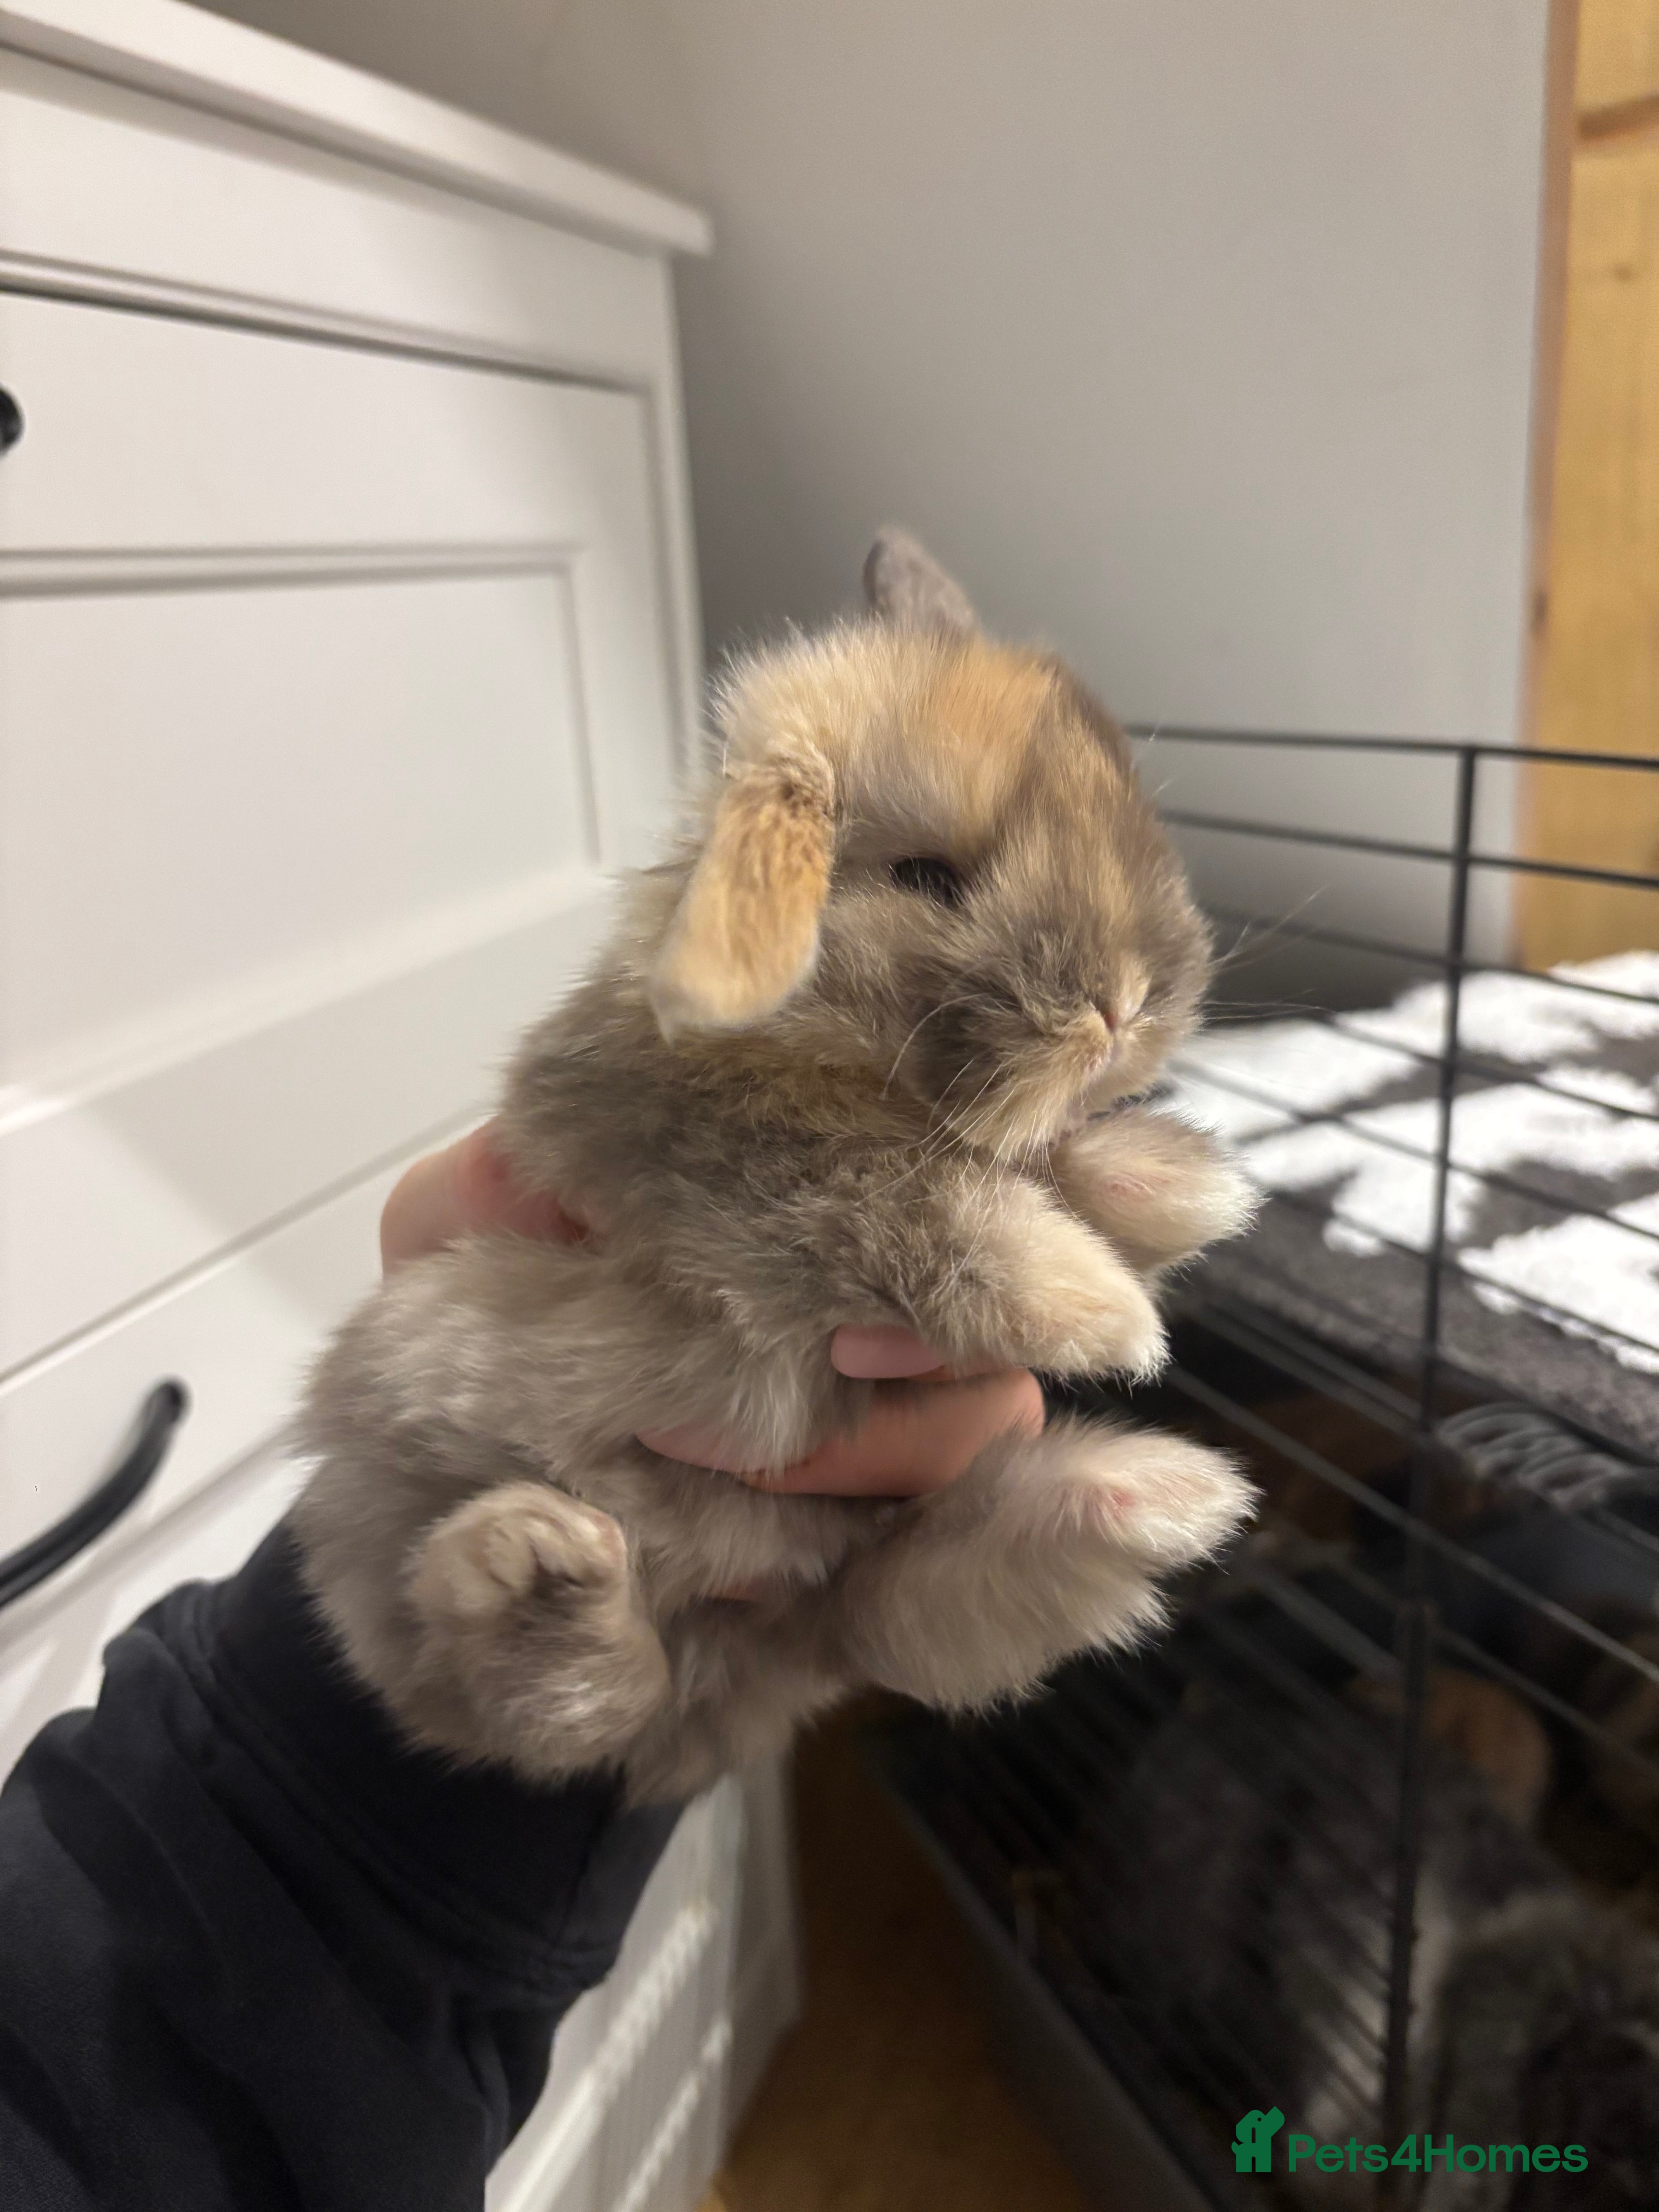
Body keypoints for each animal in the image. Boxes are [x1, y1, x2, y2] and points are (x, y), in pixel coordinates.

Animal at [292, 531, 1258, 1804]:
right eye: (929, 879)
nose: (1129, 1003)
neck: (833, 1047)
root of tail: (731, 1683)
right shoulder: (736, 1170)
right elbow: (905, 1205)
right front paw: (1099, 1312)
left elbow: (1056, 1171)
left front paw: (1184, 1187)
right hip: (406, 1534)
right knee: (543, 1698)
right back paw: (540, 1570)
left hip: (847, 1588)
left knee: (900, 1607)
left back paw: (1147, 1499)